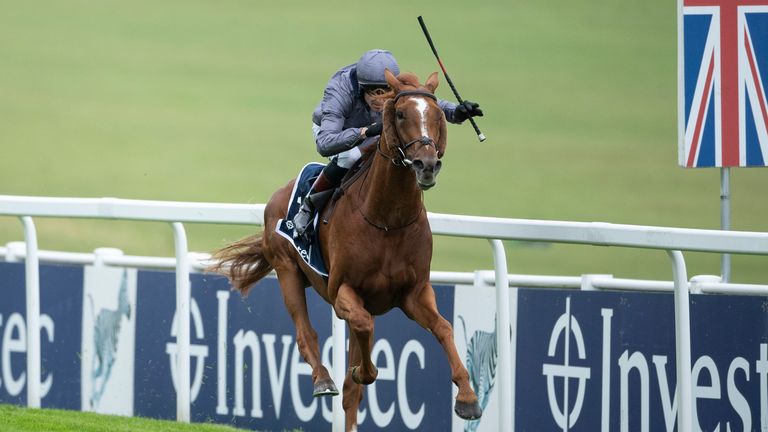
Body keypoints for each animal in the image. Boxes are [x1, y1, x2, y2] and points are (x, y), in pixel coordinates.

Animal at [212, 70, 480, 428]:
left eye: (437, 115)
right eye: (400, 114)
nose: (426, 164)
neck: (386, 219)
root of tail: (278, 195)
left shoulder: (414, 292)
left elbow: (444, 328)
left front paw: (467, 397)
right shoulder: (343, 291)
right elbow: (364, 330)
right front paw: (363, 371)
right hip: (287, 269)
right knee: (306, 333)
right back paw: (323, 379)